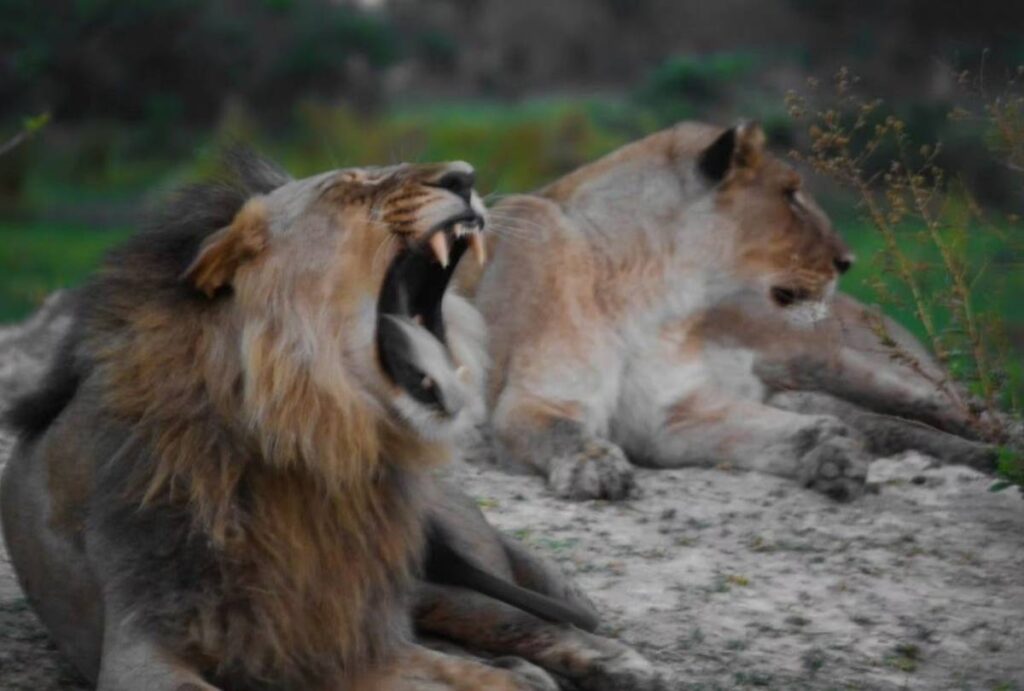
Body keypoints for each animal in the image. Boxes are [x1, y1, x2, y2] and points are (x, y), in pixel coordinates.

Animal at [0, 154, 663, 687]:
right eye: (350, 186)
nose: (464, 176)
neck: (305, 441)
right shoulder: (144, 648)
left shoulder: (357, 633)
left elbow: (478, 675)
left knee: (510, 616)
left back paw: (618, 663)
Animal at [466, 117, 999, 497]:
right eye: (791, 196)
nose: (847, 261)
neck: (654, 295)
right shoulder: (538, 397)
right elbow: (560, 431)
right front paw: (594, 467)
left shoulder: (674, 411)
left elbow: (752, 430)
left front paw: (827, 449)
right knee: (895, 428)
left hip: (856, 366)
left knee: (968, 416)